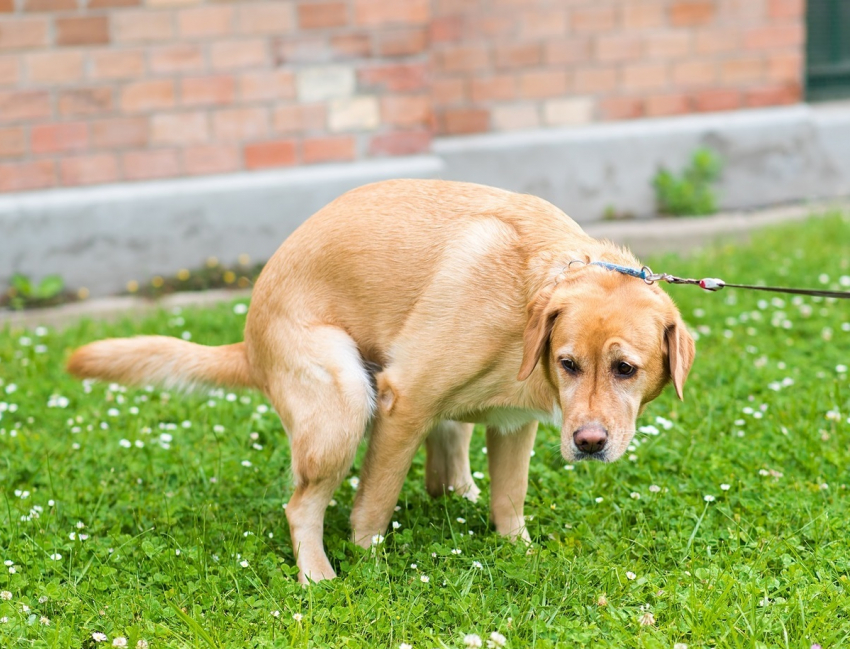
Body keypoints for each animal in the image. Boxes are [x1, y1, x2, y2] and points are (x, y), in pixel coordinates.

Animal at [64, 178, 688, 584]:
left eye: (625, 369)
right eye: (568, 363)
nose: (589, 443)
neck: (531, 293)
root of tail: (249, 341)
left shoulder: (514, 428)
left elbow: (510, 501)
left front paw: (520, 552)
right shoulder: (402, 402)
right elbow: (373, 505)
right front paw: (369, 563)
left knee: (446, 463)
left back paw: (457, 493)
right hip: (343, 405)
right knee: (301, 507)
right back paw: (318, 574)